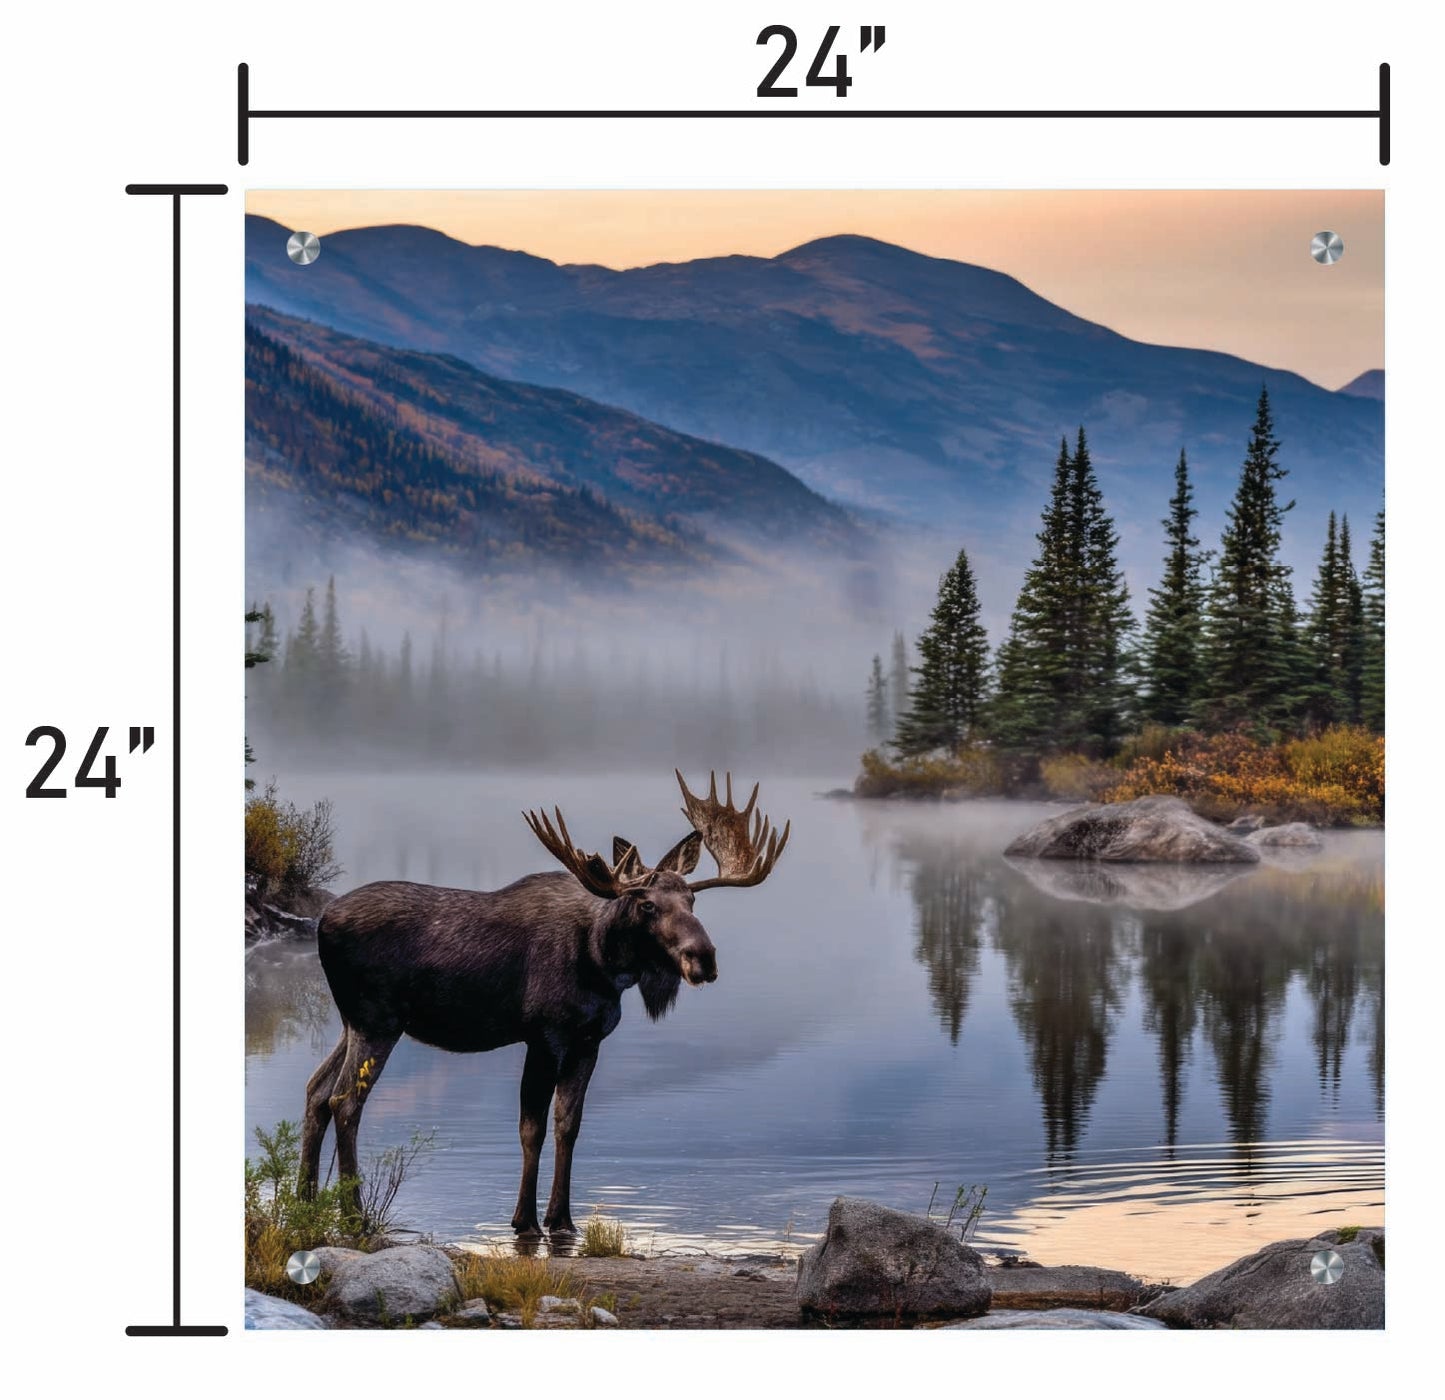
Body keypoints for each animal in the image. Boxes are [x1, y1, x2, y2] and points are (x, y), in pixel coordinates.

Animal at [299, 770, 789, 1237]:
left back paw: (304, 1201)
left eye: (692, 899)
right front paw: (525, 1220)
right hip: (377, 1021)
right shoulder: (545, 1035)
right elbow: (531, 1128)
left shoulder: (589, 1041)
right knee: (345, 1100)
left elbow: (568, 1125)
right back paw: (352, 1217)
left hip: (353, 1022)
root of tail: (322, 922)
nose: (702, 957)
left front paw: (563, 1219)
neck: (603, 962)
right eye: (647, 905)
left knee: (316, 1090)